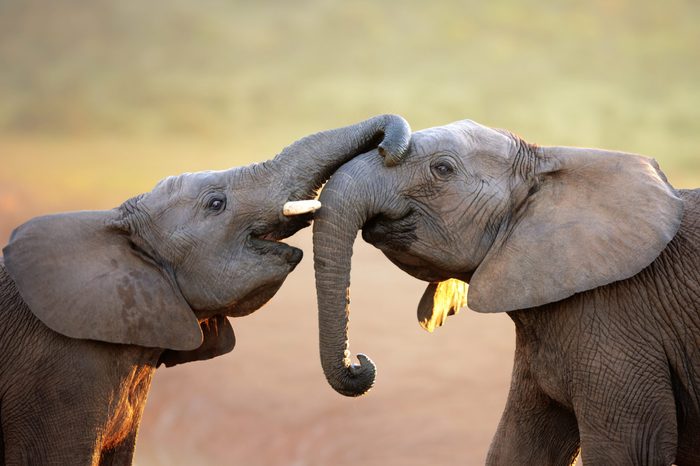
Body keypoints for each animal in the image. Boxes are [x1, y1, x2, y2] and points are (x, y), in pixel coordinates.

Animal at [314, 119, 700, 466]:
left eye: (442, 169)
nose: (359, 363)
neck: (546, 164)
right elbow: (518, 446)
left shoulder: (619, 319)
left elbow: (628, 451)